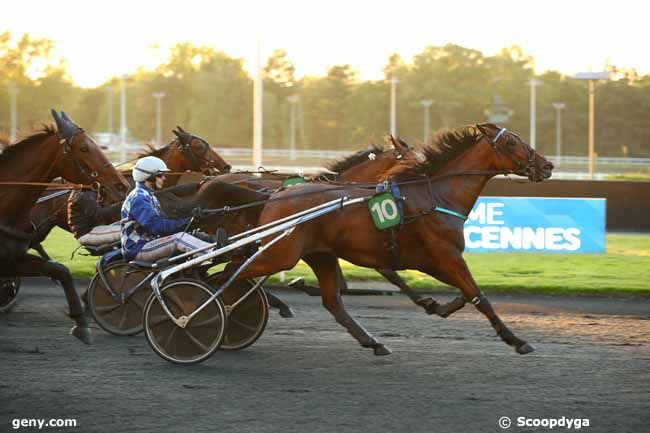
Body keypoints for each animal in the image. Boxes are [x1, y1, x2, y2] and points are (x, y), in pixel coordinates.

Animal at [224, 121, 552, 354]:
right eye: (511, 142)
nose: (547, 165)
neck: (435, 196)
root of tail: (276, 194)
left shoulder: (428, 260)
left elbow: (463, 292)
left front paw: (439, 305)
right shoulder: (445, 255)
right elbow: (479, 297)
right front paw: (516, 339)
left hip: (318, 254)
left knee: (332, 301)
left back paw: (373, 342)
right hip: (280, 253)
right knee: (232, 272)